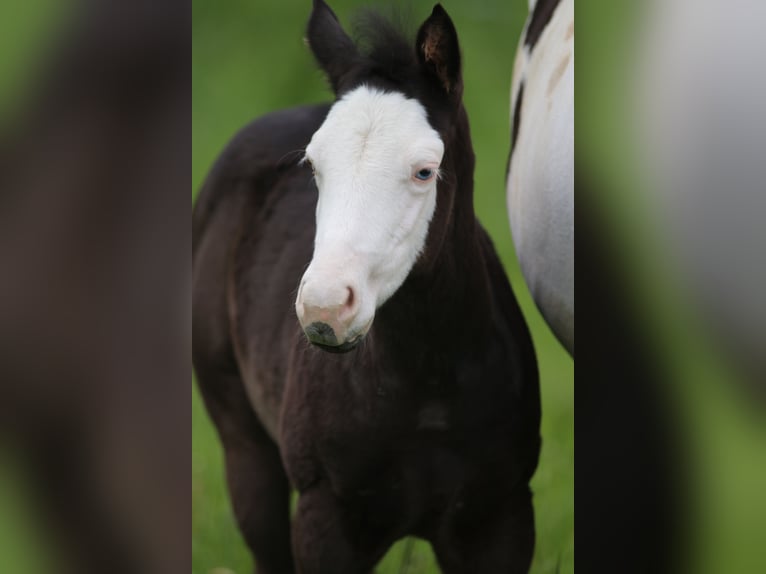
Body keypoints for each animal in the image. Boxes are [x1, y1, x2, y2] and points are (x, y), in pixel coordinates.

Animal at [192, 2, 541, 573]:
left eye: (425, 171)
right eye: (312, 165)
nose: (325, 308)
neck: (428, 385)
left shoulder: (500, 519)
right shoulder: (324, 518)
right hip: (245, 448)